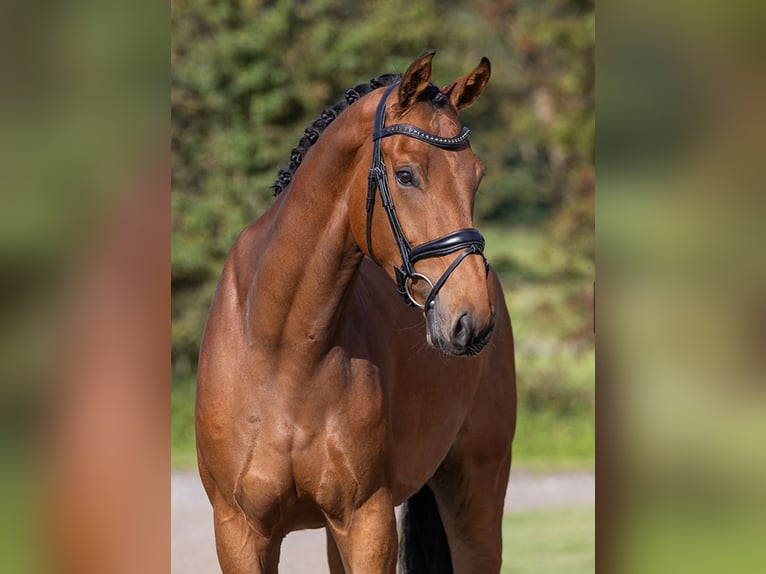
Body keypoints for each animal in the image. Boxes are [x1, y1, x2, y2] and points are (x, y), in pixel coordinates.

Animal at [196, 51, 520, 572]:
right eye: (406, 174)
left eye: (477, 175)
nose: (471, 320)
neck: (281, 347)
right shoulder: (239, 530)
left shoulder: (367, 521)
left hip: (476, 493)